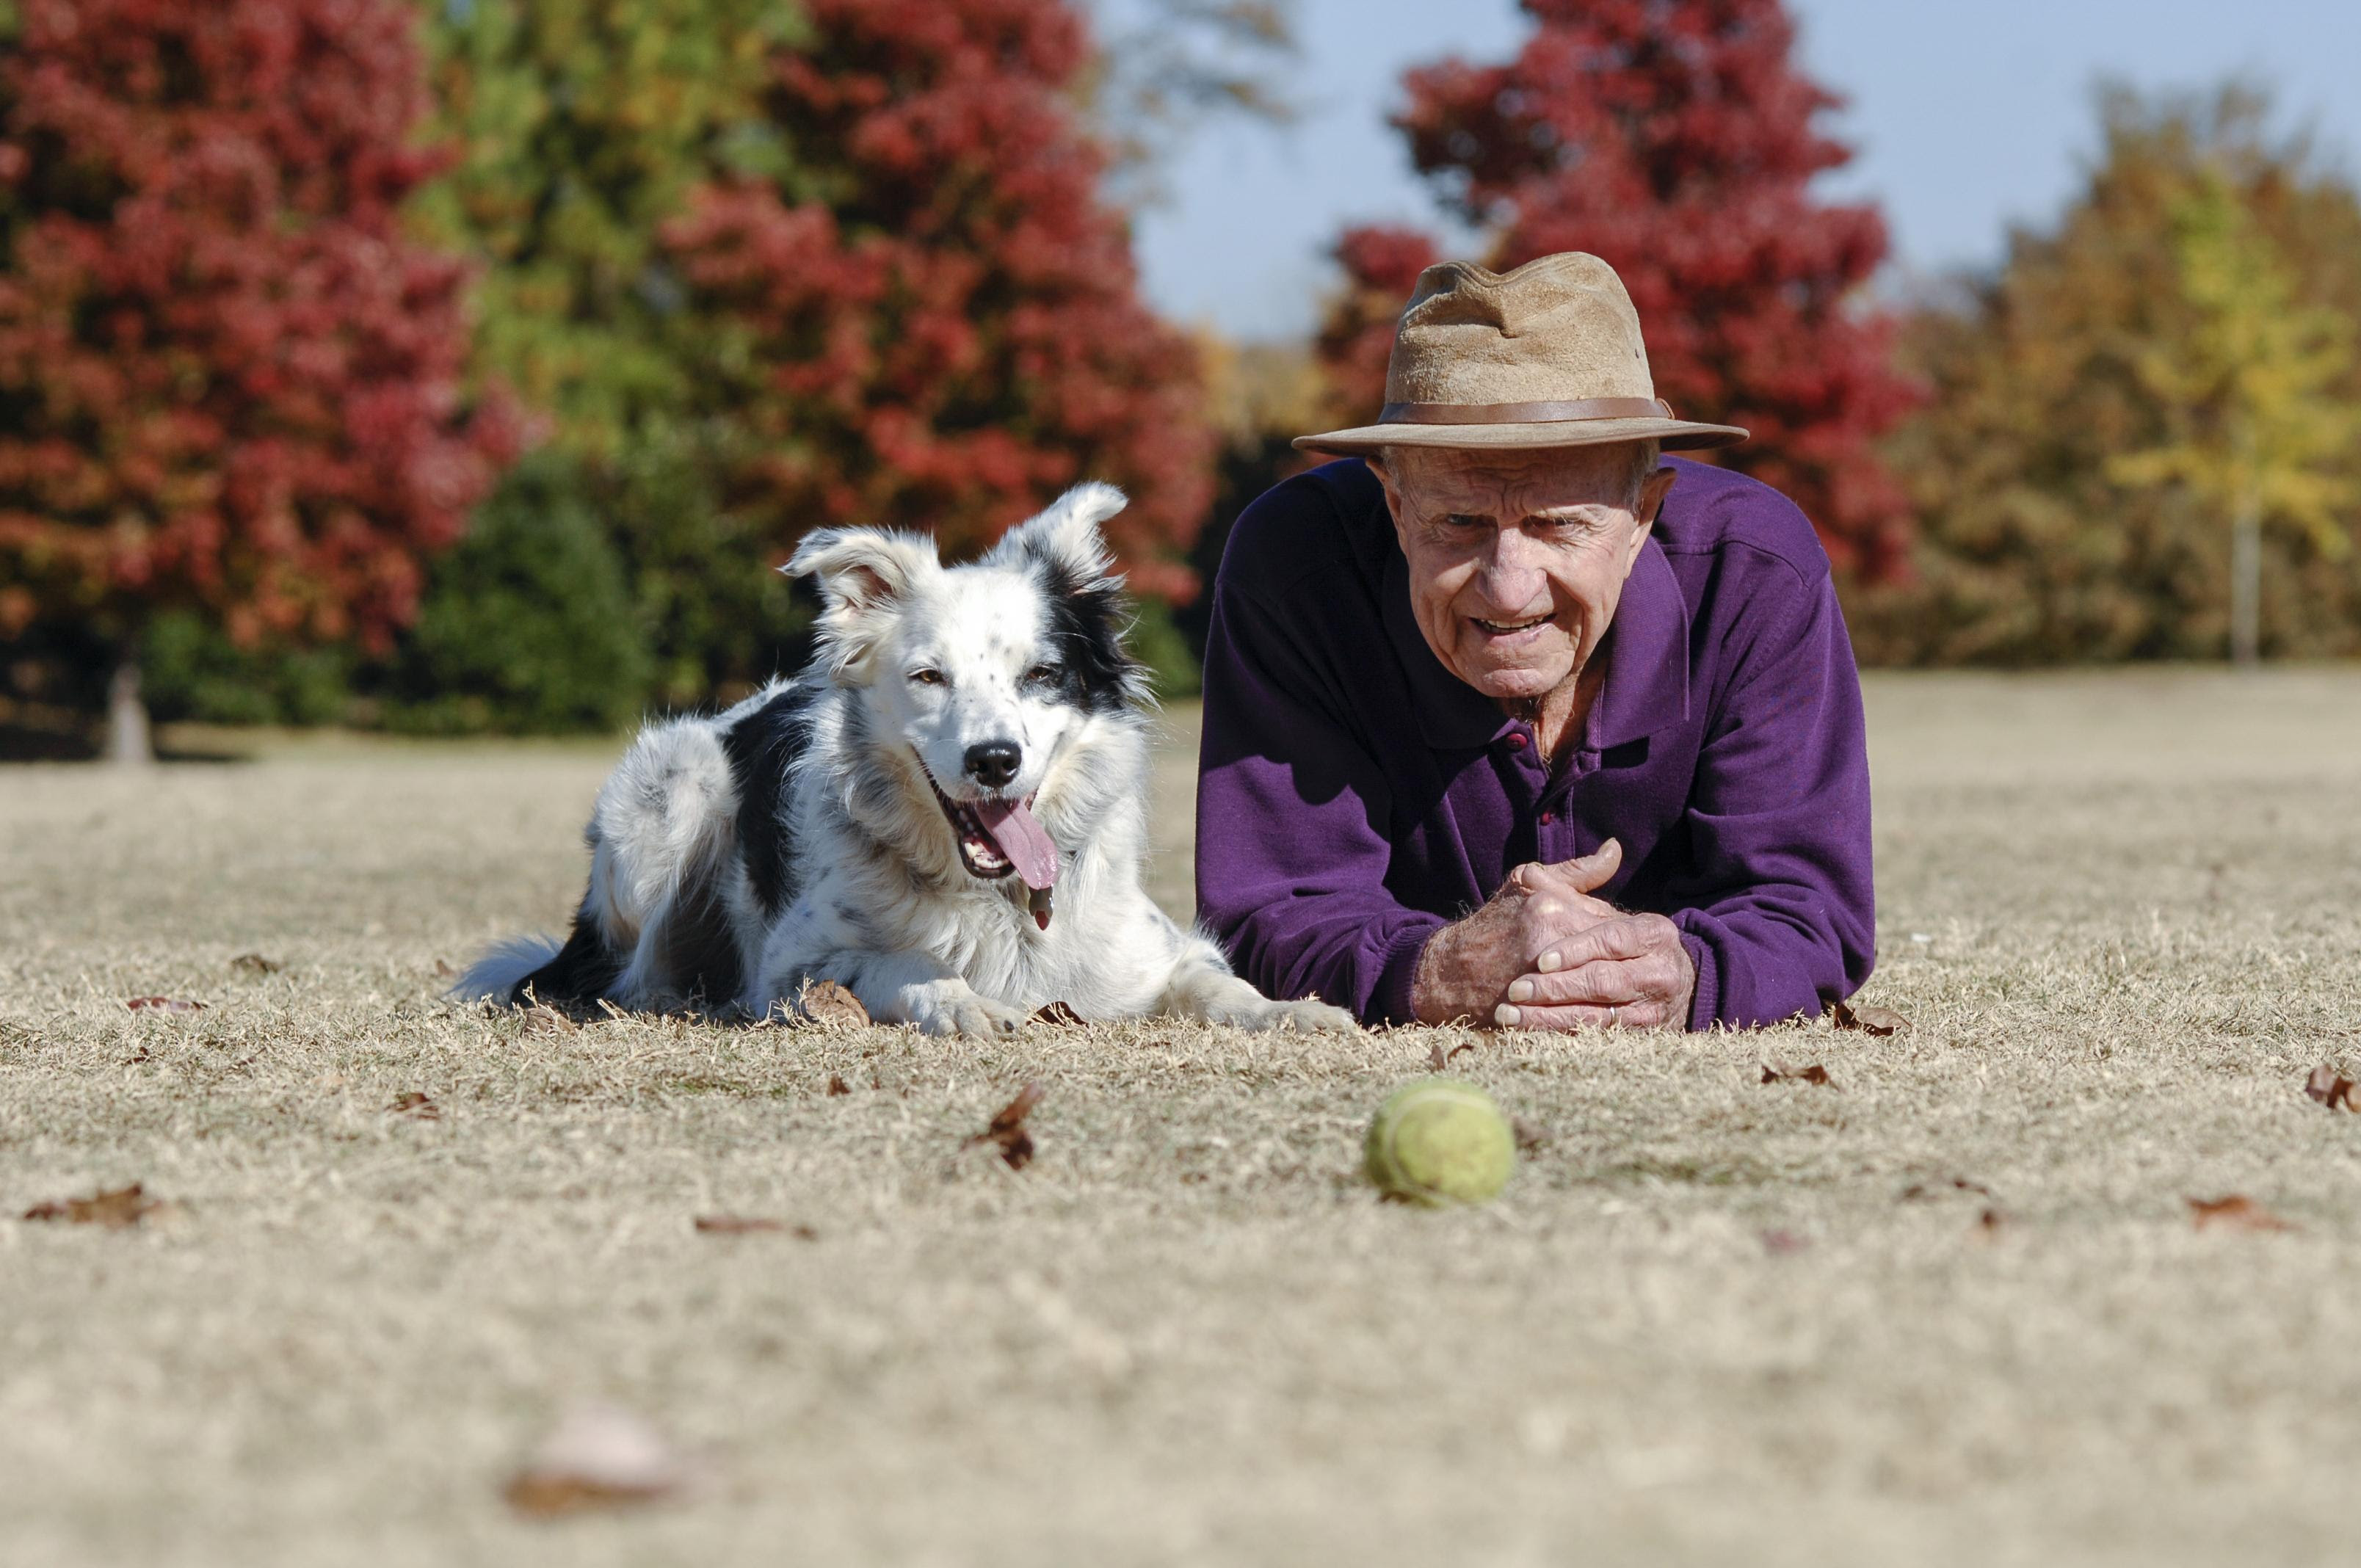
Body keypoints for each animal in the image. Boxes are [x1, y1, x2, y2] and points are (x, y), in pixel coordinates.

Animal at [460, 484, 1350, 1034]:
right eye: (929, 677)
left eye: (1041, 675)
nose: (995, 761)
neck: (998, 902)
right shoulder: (795, 965)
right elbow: (897, 966)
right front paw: (961, 1001)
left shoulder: (1156, 953)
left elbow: (1218, 982)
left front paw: (1290, 1009)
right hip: (673, 797)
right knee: (632, 972)